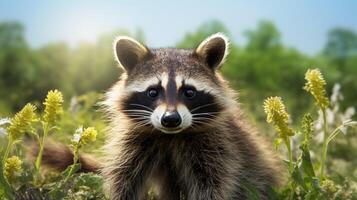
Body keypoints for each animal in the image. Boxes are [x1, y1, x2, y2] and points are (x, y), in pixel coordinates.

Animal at [36, 33, 280, 200]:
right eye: (153, 91)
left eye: (189, 92)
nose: (170, 119)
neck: (170, 136)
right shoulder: (134, 141)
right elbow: (124, 178)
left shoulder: (218, 146)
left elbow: (213, 184)